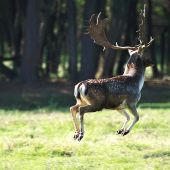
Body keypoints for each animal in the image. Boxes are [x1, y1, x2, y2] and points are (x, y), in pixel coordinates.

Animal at [70, 4, 154, 141]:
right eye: (146, 53)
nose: (152, 61)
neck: (137, 81)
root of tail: (80, 85)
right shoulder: (131, 101)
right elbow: (137, 117)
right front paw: (126, 131)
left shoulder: (118, 106)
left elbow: (127, 116)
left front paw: (120, 130)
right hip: (97, 103)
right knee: (81, 110)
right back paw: (81, 134)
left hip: (81, 100)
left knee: (73, 108)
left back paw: (76, 133)